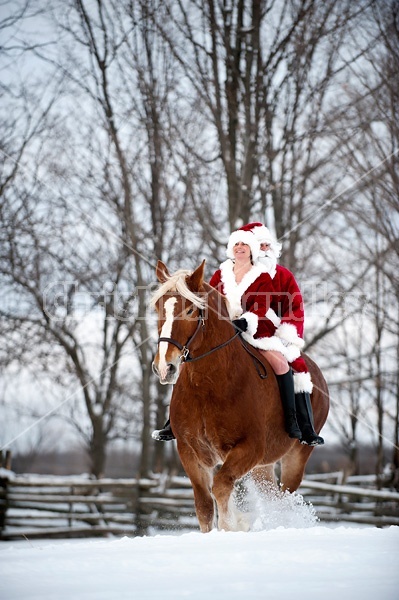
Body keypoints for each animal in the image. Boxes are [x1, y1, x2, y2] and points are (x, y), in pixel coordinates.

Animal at [152, 260, 330, 532]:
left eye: (191, 310)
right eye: (157, 308)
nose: (165, 367)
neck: (207, 385)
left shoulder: (248, 449)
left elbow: (222, 488)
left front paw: (231, 527)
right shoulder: (190, 452)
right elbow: (204, 506)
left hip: (296, 457)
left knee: (284, 500)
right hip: (262, 468)